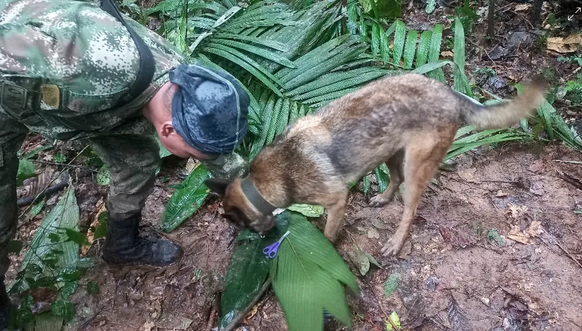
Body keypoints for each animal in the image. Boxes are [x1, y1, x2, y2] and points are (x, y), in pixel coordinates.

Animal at [205, 74, 548, 256]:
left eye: (241, 225)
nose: (263, 240)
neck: (261, 182)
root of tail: (449, 93)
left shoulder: (337, 200)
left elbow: (328, 233)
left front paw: (325, 249)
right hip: (390, 153)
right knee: (394, 180)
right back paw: (383, 198)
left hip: (416, 167)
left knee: (410, 208)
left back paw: (396, 241)